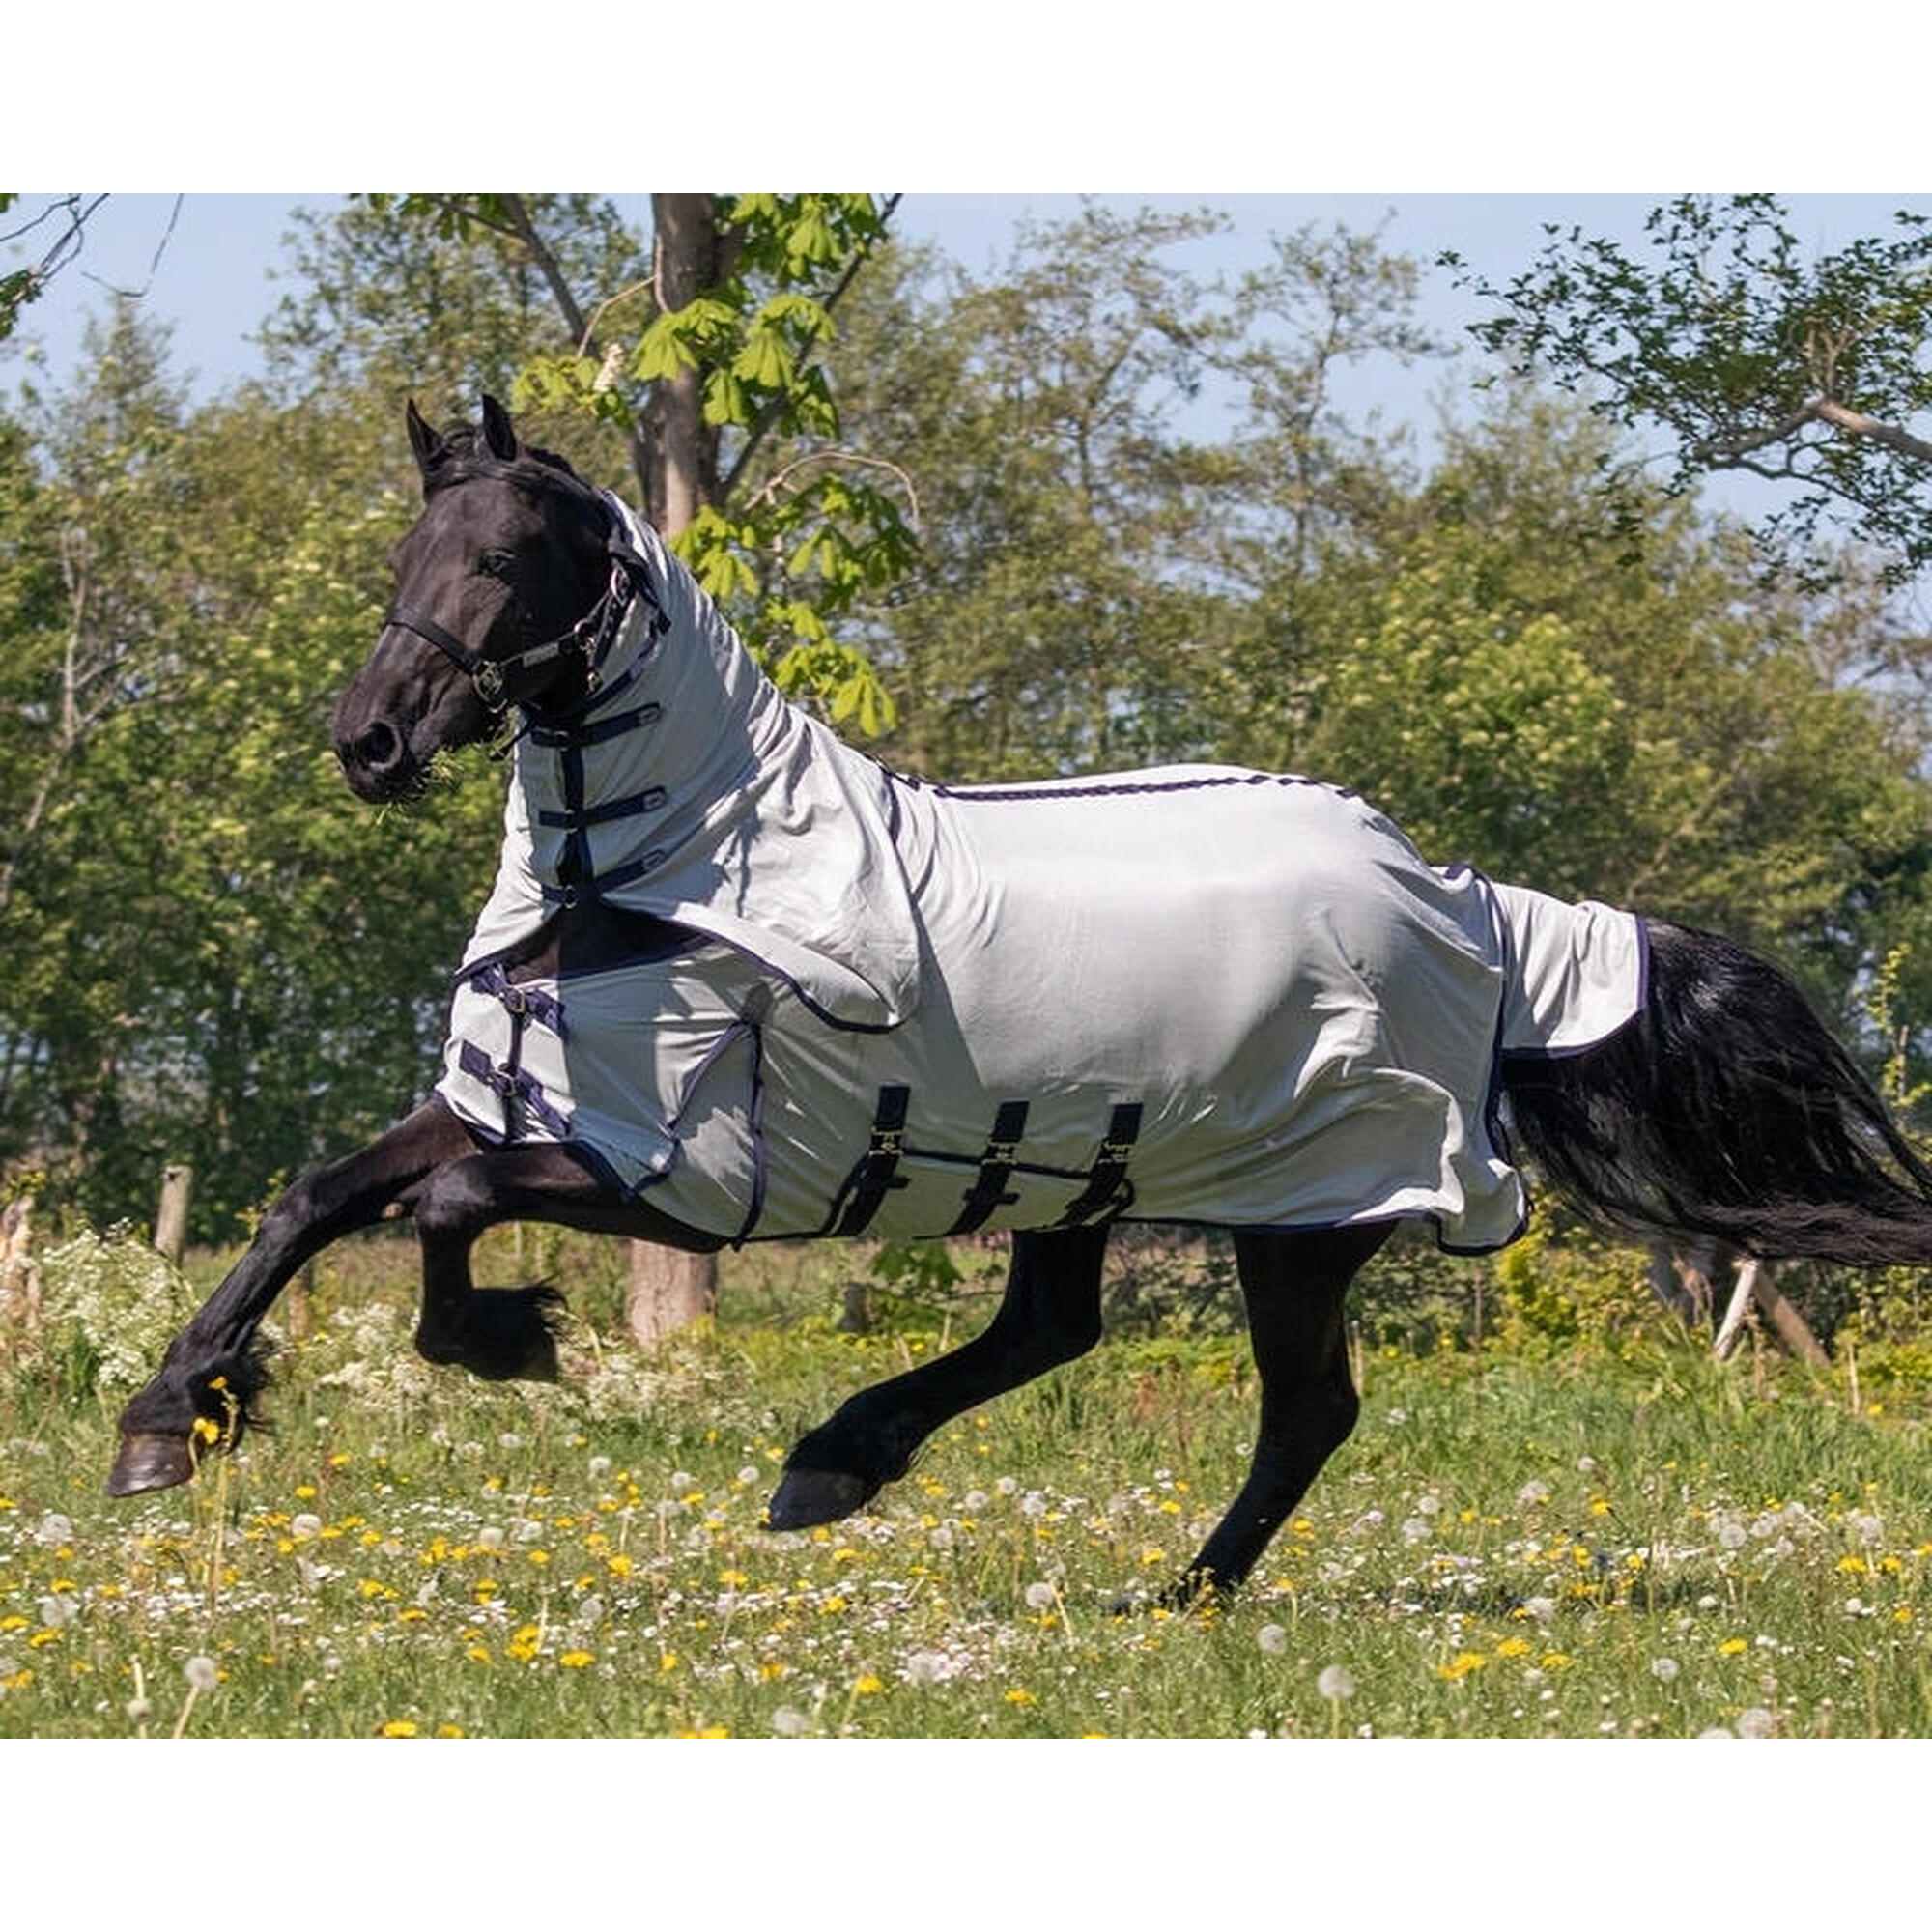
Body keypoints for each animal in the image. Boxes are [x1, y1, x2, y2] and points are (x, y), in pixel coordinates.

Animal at [105, 396, 1932, 1600]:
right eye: (406, 549)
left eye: (498, 555)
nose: (368, 740)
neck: (653, 878)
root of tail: (1473, 905)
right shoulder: (538, 1104)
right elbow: (316, 1197)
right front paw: (172, 1421)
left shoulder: (685, 1180)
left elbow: (441, 1217)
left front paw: (509, 1340)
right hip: (1080, 1168)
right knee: (1060, 1329)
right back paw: (848, 1468)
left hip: (1300, 1209)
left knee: (1304, 1411)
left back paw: (1166, 1595)